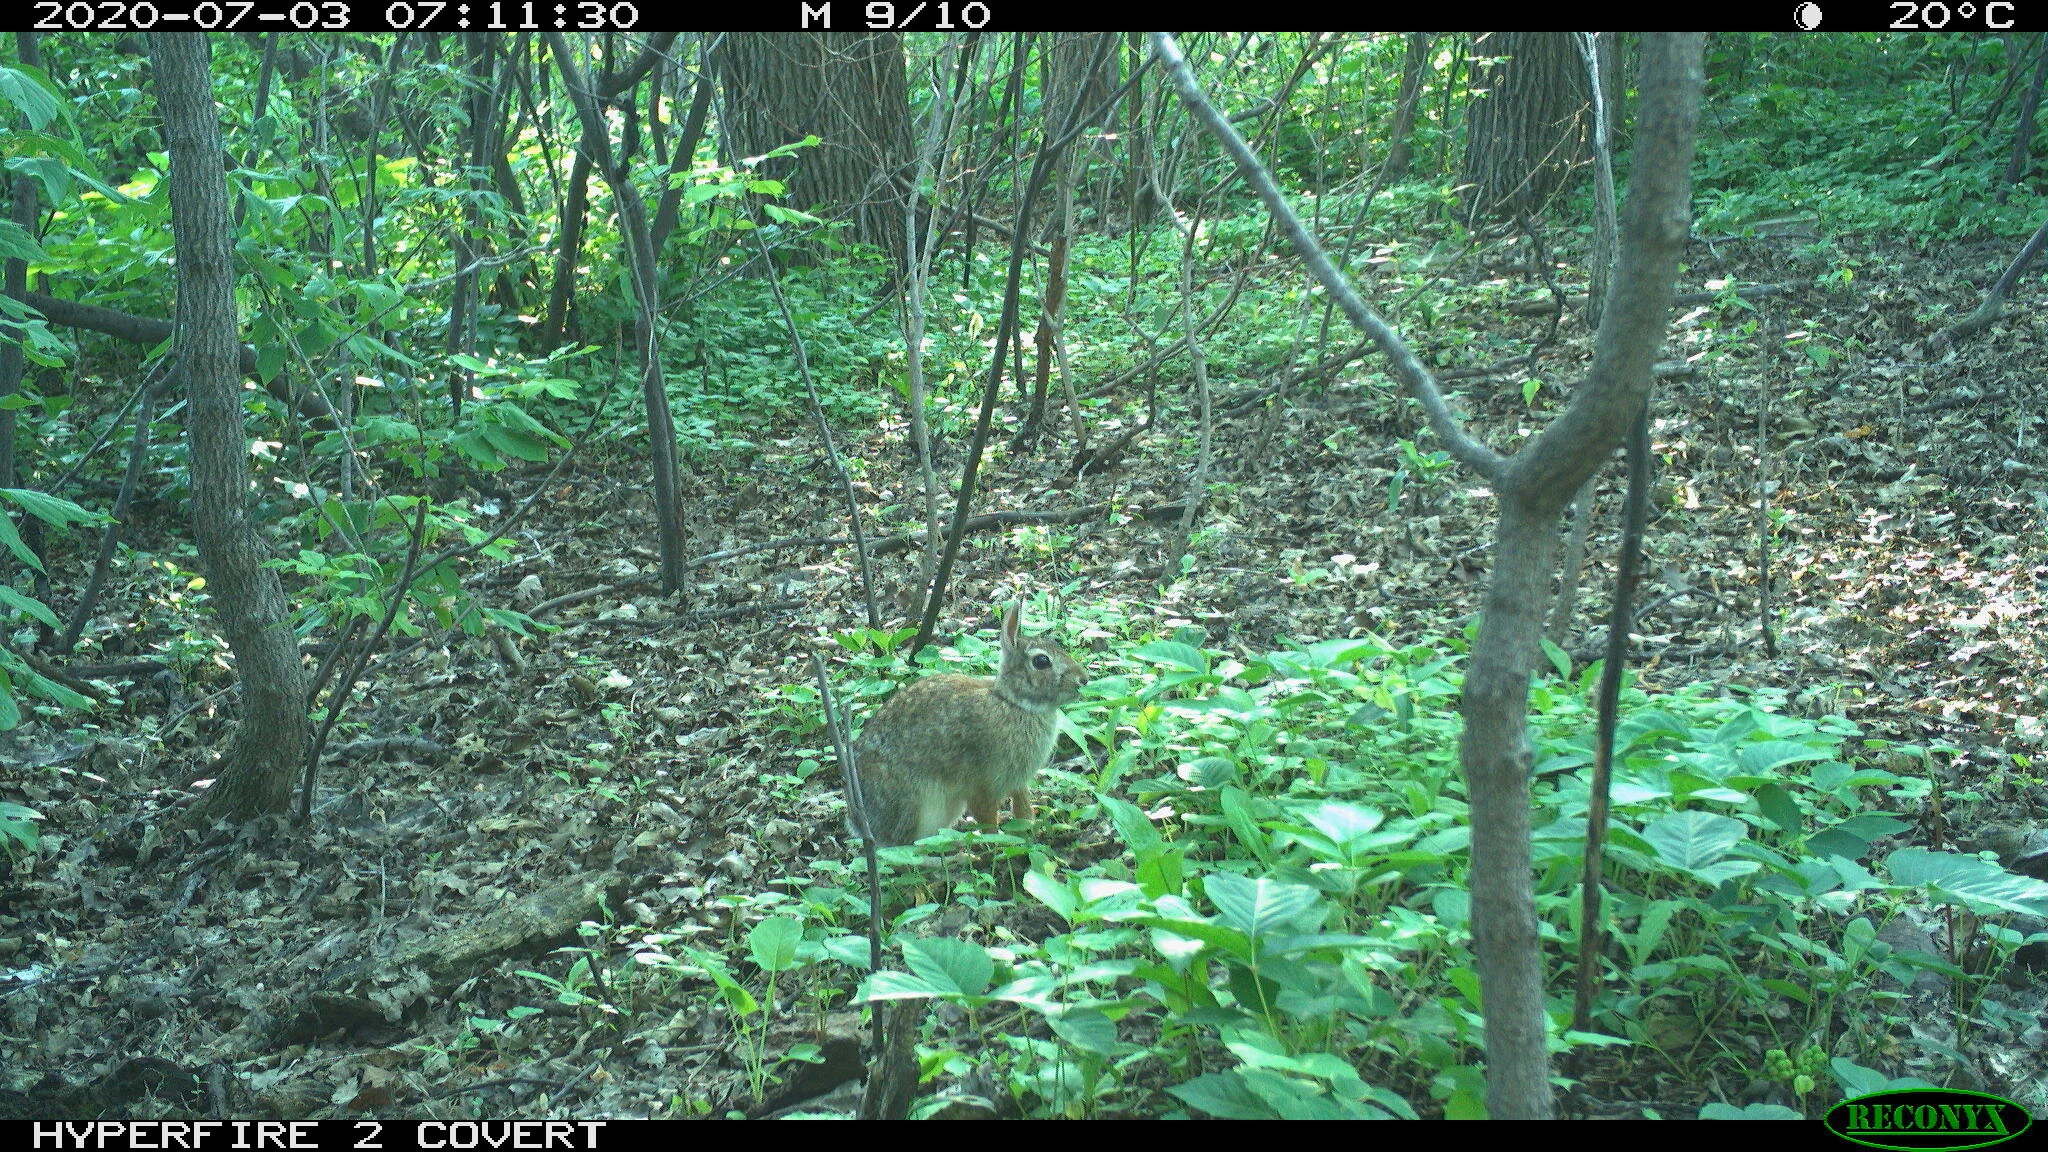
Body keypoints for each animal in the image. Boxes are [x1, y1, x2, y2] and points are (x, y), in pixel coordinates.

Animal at [849, 603, 1087, 846]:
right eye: (1041, 662)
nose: (1083, 680)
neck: (1012, 702)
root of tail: (861, 823)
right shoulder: (983, 784)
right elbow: (988, 819)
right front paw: (998, 843)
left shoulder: (1017, 781)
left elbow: (1022, 808)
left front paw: (1028, 830)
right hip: (913, 805)